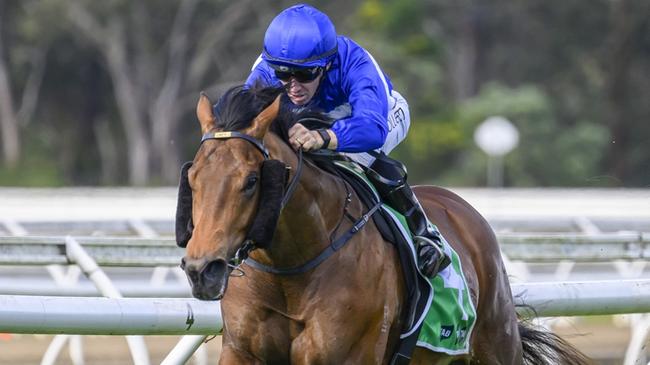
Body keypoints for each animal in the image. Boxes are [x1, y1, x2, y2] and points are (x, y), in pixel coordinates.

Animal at [176, 84, 588, 364]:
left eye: (251, 181)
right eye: (193, 177)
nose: (201, 269)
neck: (291, 269)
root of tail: (460, 205)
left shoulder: (348, 355)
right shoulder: (243, 351)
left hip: (495, 345)